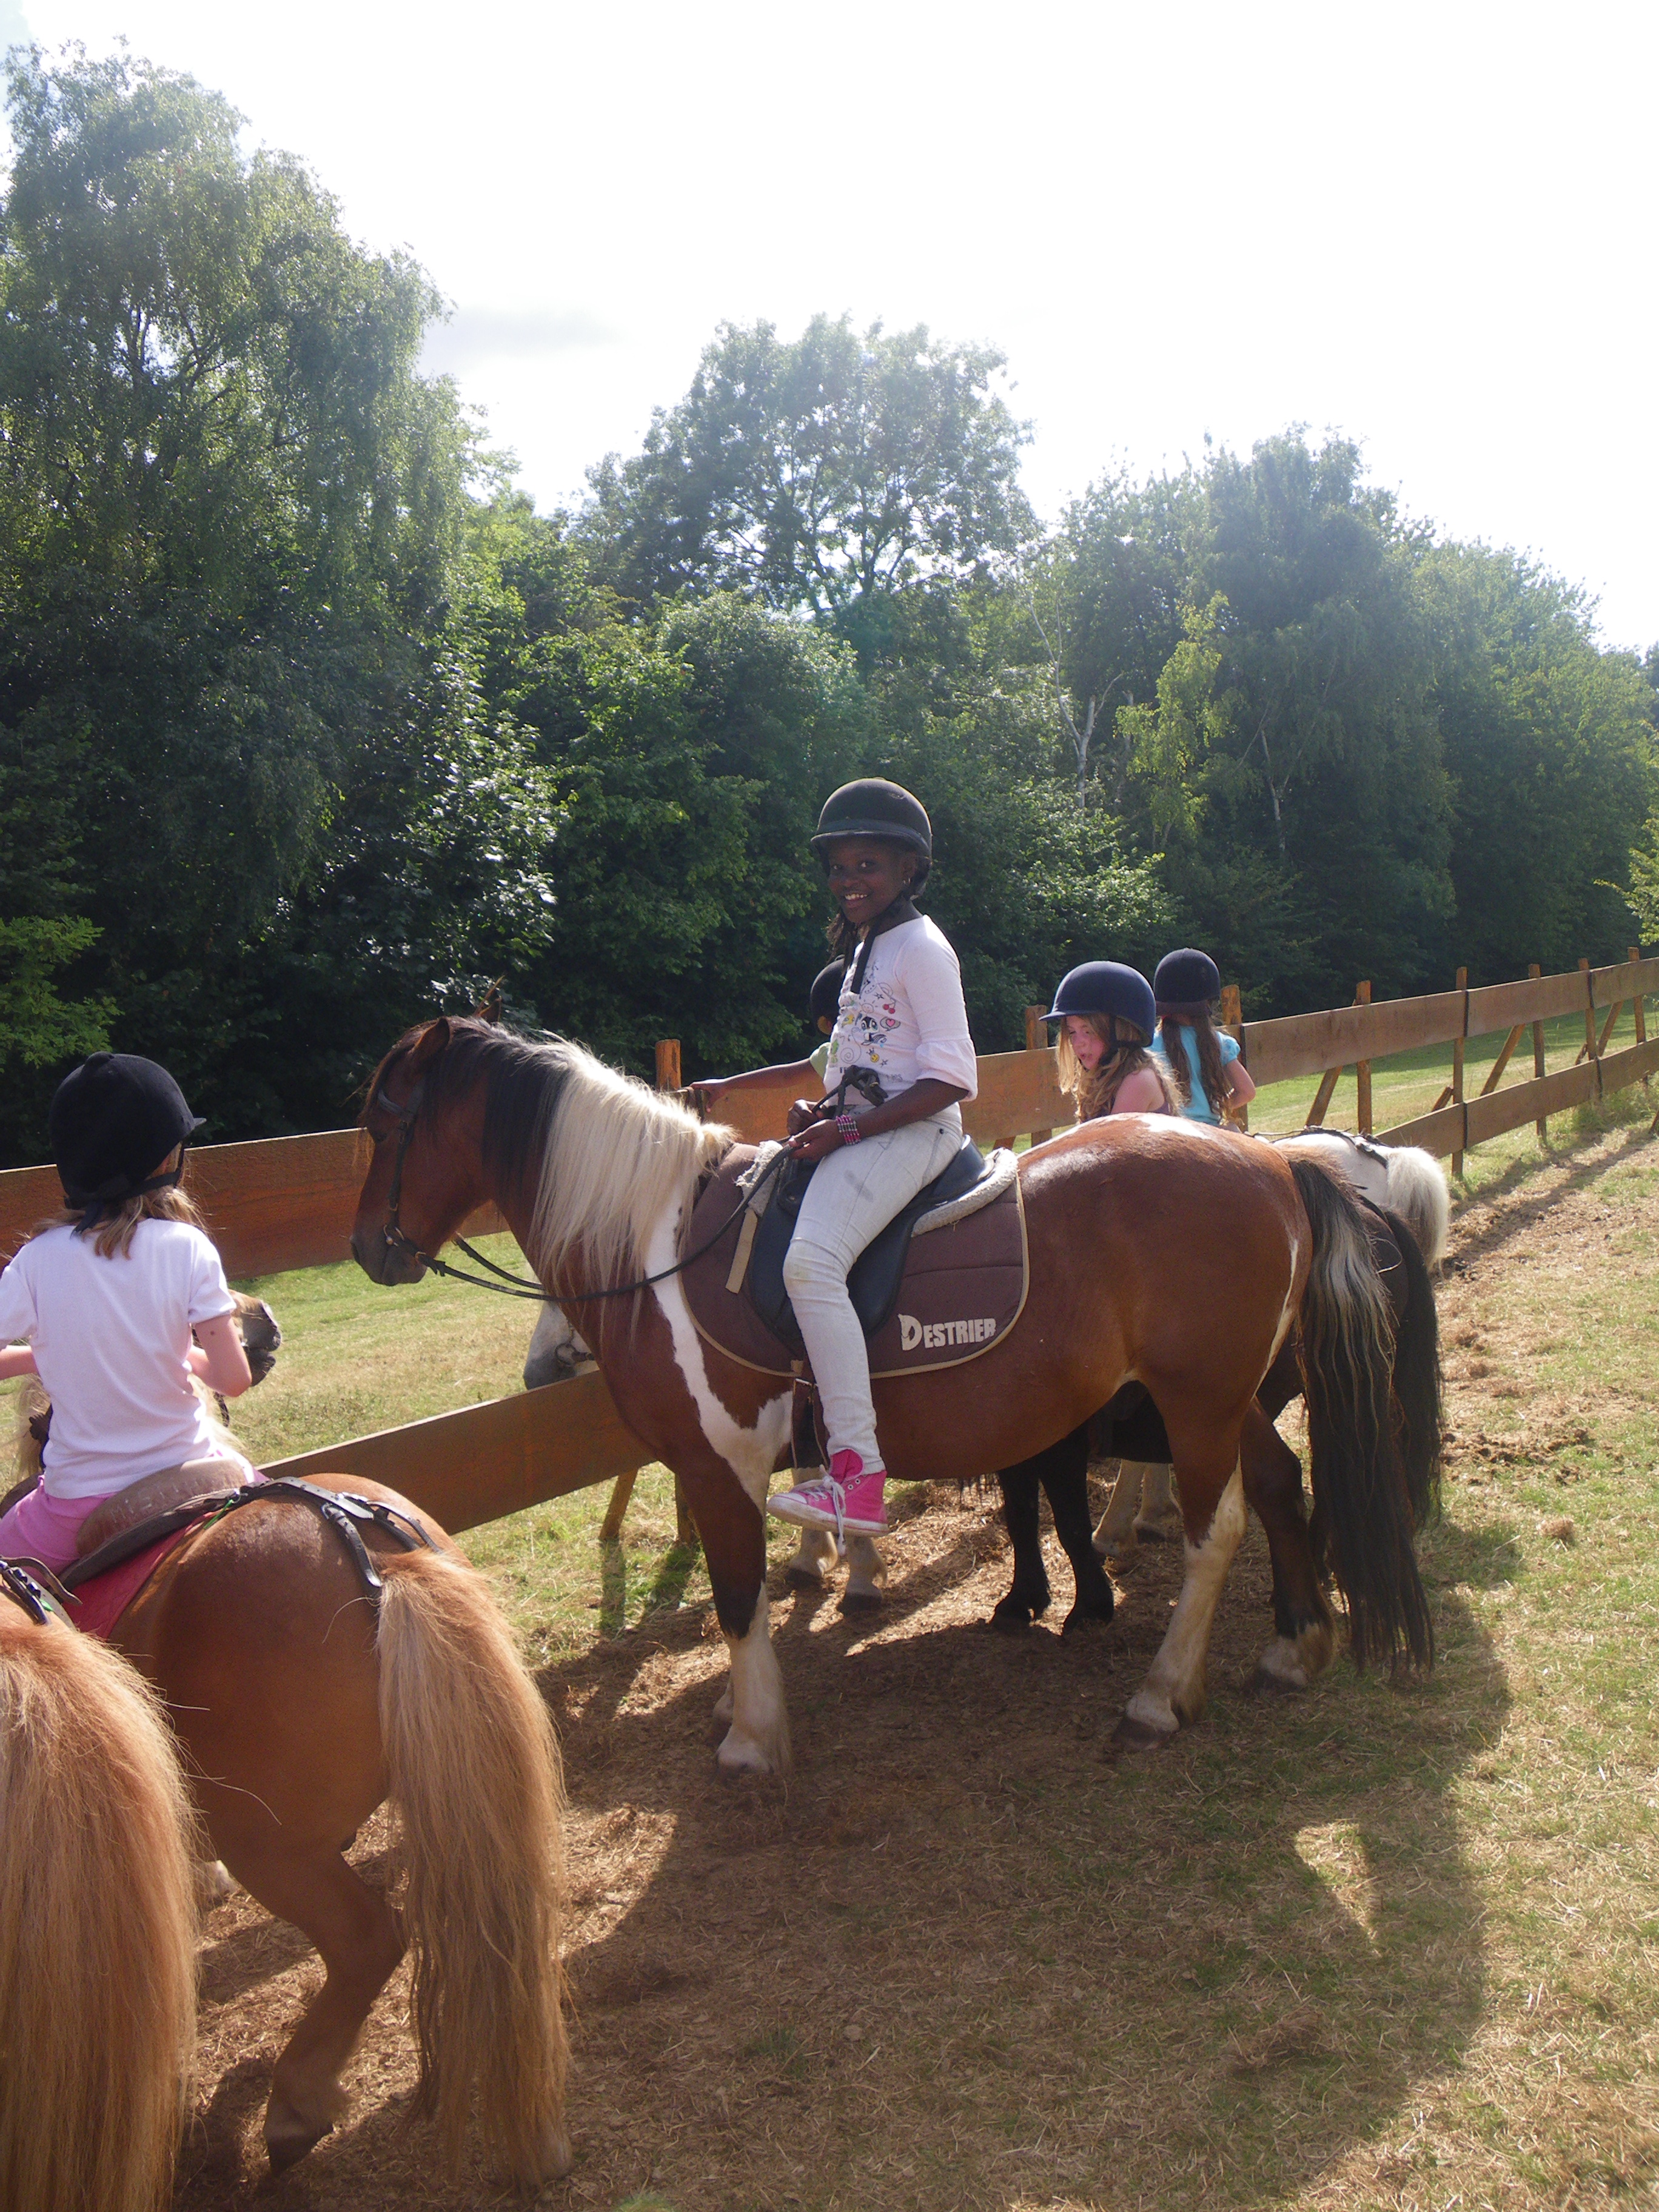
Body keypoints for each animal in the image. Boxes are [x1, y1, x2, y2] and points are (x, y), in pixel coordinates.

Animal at [350, 1017, 1432, 1771]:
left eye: (384, 1121)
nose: (367, 1250)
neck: (664, 1242)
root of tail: (1275, 1162)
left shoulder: (718, 1461)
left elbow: (737, 1593)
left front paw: (752, 1735)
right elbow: (754, 1588)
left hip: (1198, 1405)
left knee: (1218, 1531)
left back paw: (1163, 1695)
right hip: (1219, 1398)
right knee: (1282, 1485)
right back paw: (1294, 1648)